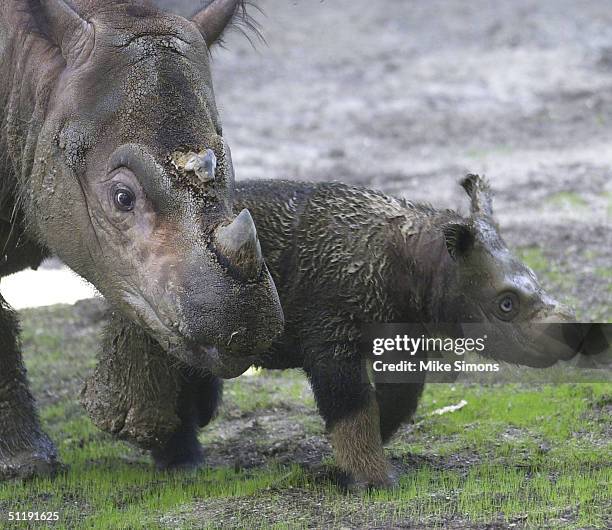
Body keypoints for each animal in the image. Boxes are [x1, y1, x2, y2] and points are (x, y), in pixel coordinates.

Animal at [83, 174, 576, 486]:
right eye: (505, 304)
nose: (570, 336)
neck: (423, 264)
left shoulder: (402, 337)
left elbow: (394, 402)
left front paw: (347, 465)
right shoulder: (332, 333)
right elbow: (351, 406)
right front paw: (371, 481)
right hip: (151, 292)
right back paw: (178, 462)